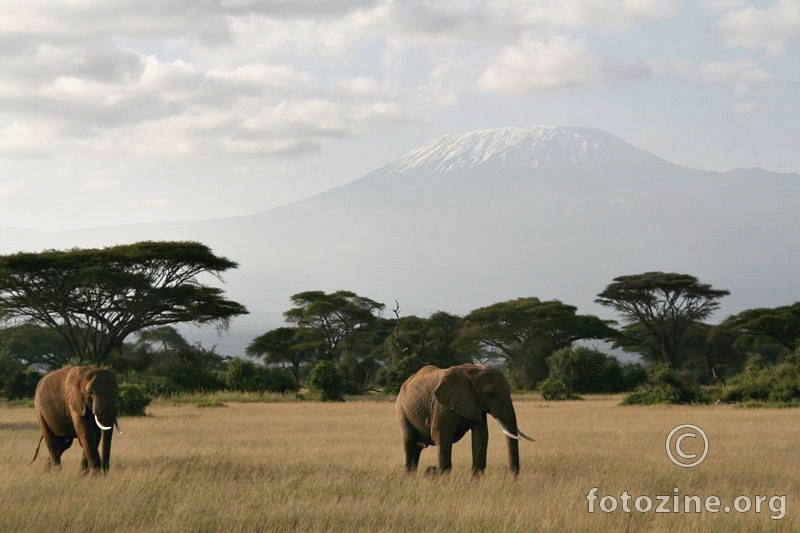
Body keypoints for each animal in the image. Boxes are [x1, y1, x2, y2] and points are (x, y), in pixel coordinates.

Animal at [396, 364, 536, 476]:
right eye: (490, 394)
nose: (513, 476)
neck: (472, 372)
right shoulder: (442, 406)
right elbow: (441, 435)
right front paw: (440, 478)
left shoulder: (477, 404)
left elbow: (481, 436)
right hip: (402, 409)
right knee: (410, 442)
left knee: (417, 447)